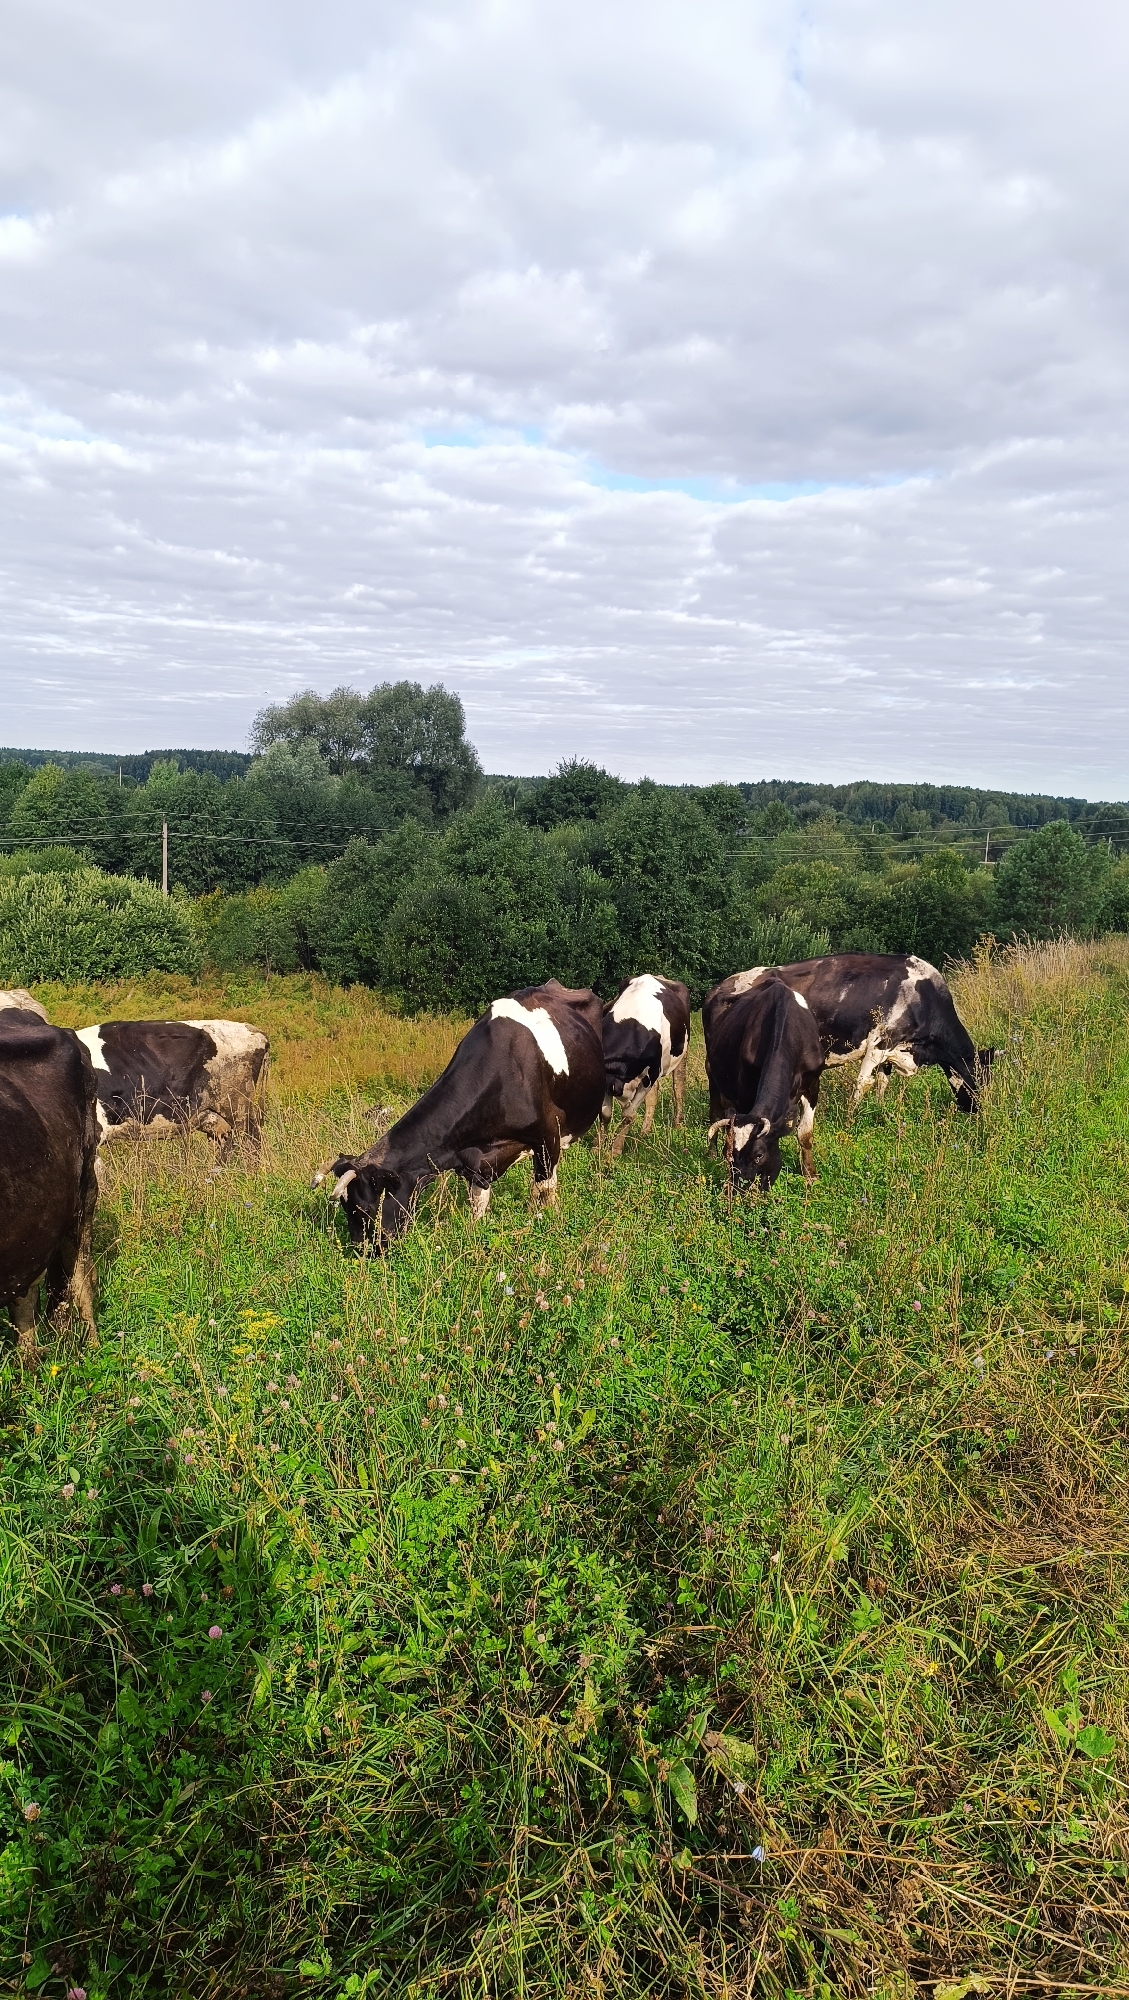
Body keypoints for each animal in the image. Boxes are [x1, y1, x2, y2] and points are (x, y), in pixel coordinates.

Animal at [317, 980, 605, 1251]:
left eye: (364, 1208)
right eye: (346, 1208)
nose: (363, 1251)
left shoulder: (548, 1135)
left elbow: (544, 1188)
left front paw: (547, 1220)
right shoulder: (474, 1161)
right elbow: (478, 1202)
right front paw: (473, 1233)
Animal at [600, 974, 691, 1156]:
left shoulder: (650, 1076)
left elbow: (628, 1115)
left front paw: (616, 1149)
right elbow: (605, 1113)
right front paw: (596, 1147)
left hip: (680, 1056)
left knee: (678, 1087)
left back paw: (677, 1123)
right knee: (653, 1097)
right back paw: (645, 1132)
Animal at [702, 975, 825, 1189]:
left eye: (758, 1155)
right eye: (730, 1155)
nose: (739, 1186)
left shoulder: (812, 1085)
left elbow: (805, 1133)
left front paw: (810, 1175)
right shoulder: (745, 1091)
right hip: (712, 1072)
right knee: (715, 1113)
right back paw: (711, 1154)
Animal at [706, 954, 992, 1113]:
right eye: (981, 1080)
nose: (979, 1111)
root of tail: (717, 989)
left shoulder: (892, 1050)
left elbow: (882, 1081)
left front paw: (880, 1109)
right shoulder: (881, 1041)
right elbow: (863, 1082)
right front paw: (850, 1117)